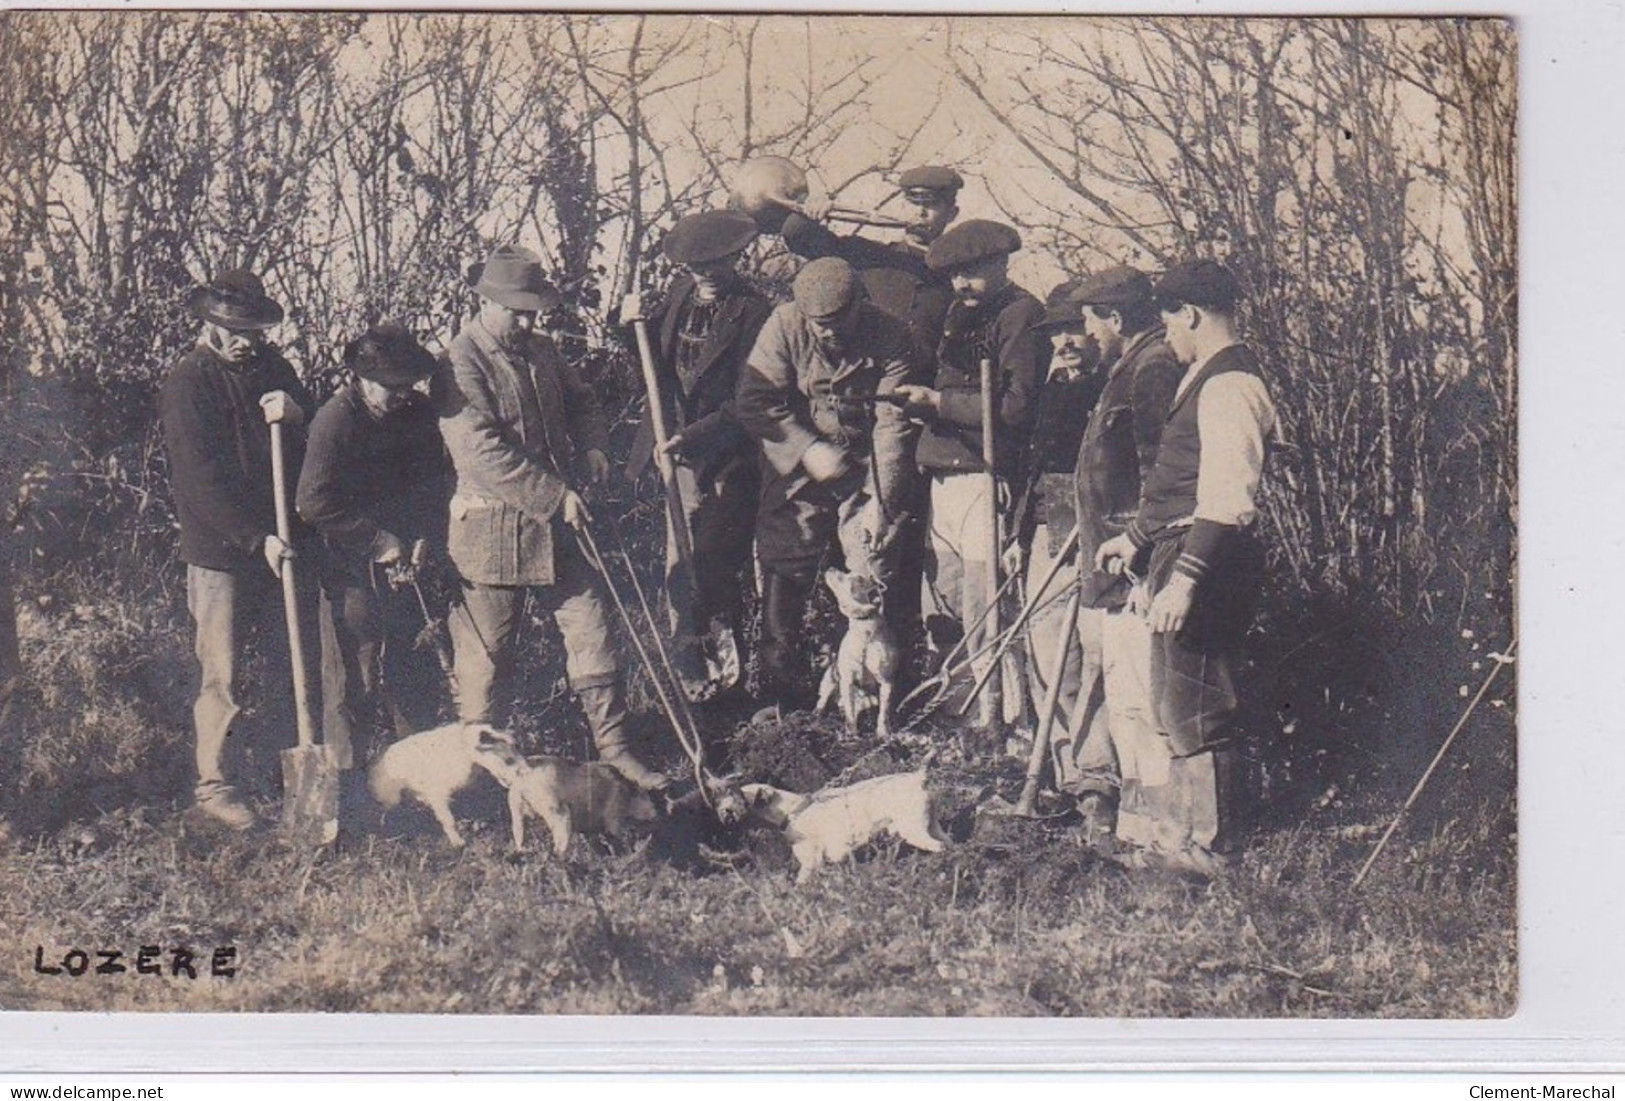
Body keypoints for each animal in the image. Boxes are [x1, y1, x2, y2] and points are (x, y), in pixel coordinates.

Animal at [471, 737, 659, 857]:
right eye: (650, 799)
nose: (656, 815)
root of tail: (524, 769)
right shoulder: (614, 818)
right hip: (560, 816)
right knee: (559, 847)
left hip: (517, 815)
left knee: (519, 839)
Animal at [744, 759, 949, 889]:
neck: (793, 811)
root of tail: (917, 778)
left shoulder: (811, 863)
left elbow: (800, 885)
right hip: (933, 827)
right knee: (948, 843)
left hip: (914, 832)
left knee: (939, 847)